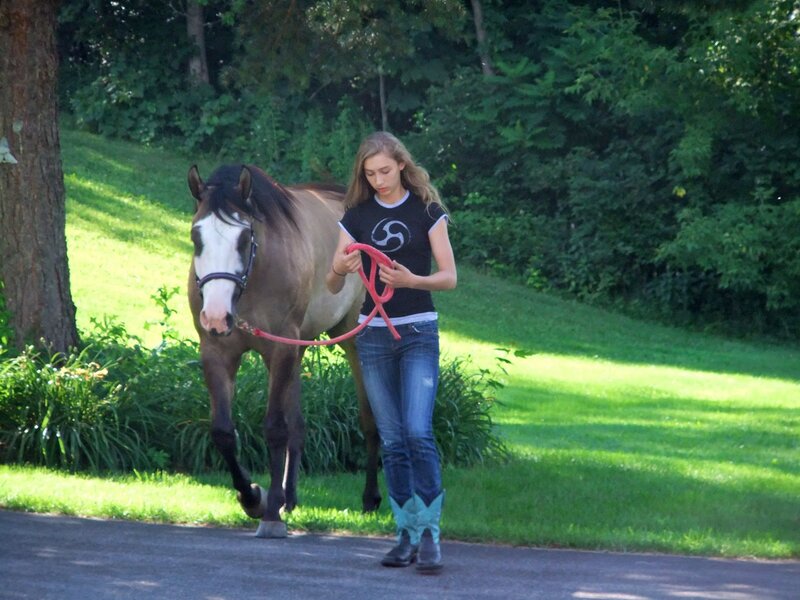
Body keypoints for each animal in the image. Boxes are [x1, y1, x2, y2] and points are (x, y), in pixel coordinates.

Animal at [187, 164, 381, 538]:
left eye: (244, 238)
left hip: (353, 340)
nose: (215, 315)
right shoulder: (217, 351)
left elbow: (275, 429)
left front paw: (270, 511)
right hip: (298, 350)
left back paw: (370, 499)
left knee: (370, 420)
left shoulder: (279, 349)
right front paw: (254, 497)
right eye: (195, 237)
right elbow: (223, 433)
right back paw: (290, 498)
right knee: (299, 426)